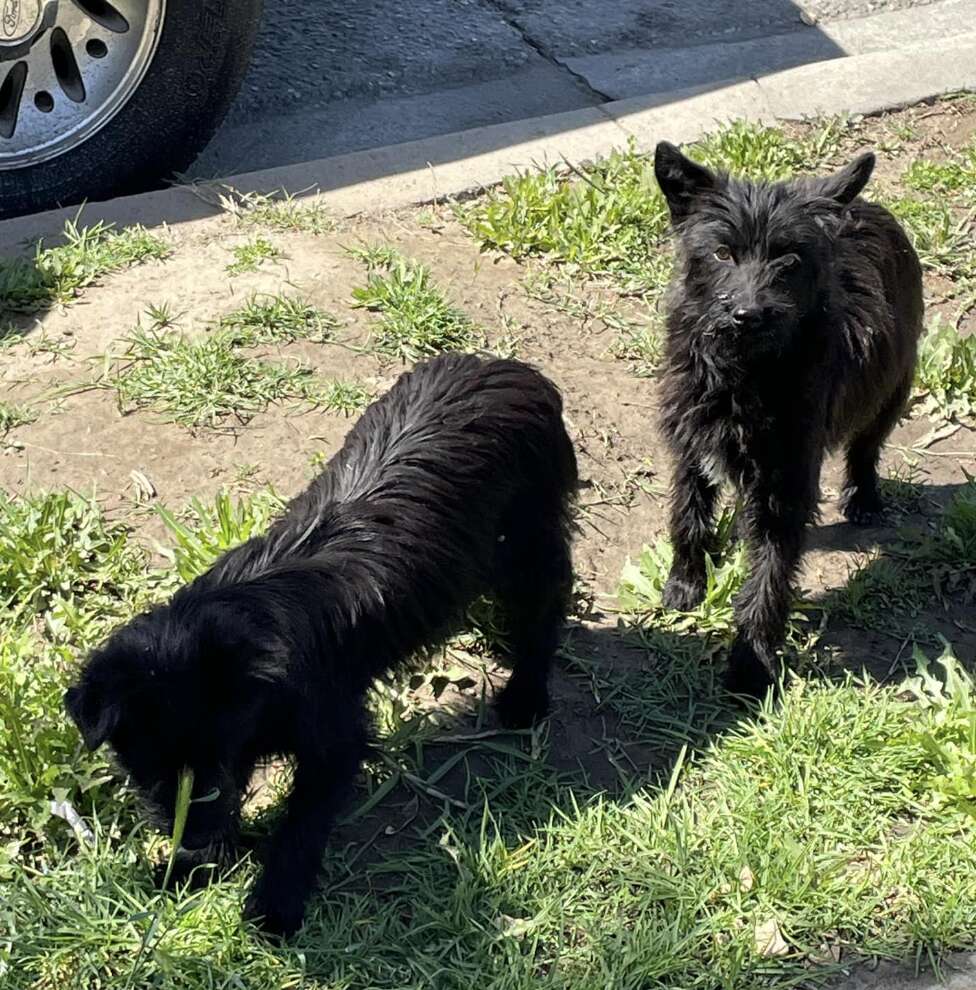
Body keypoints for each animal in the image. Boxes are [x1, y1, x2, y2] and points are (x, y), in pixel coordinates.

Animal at [63, 354, 580, 936]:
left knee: (547, 604)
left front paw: (274, 904)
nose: (191, 836)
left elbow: (301, 821)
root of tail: (516, 370)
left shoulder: (331, 735)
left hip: (527, 543)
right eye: (147, 769)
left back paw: (524, 696)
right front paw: (192, 866)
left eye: (211, 759)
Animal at [656, 141, 924, 696]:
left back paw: (864, 498)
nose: (747, 313)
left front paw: (749, 666)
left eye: (789, 259)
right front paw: (685, 582)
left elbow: (770, 576)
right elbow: (687, 513)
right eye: (722, 253)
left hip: (893, 384)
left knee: (867, 446)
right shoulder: (691, 442)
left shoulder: (787, 479)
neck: (746, 371)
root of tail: (866, 206)